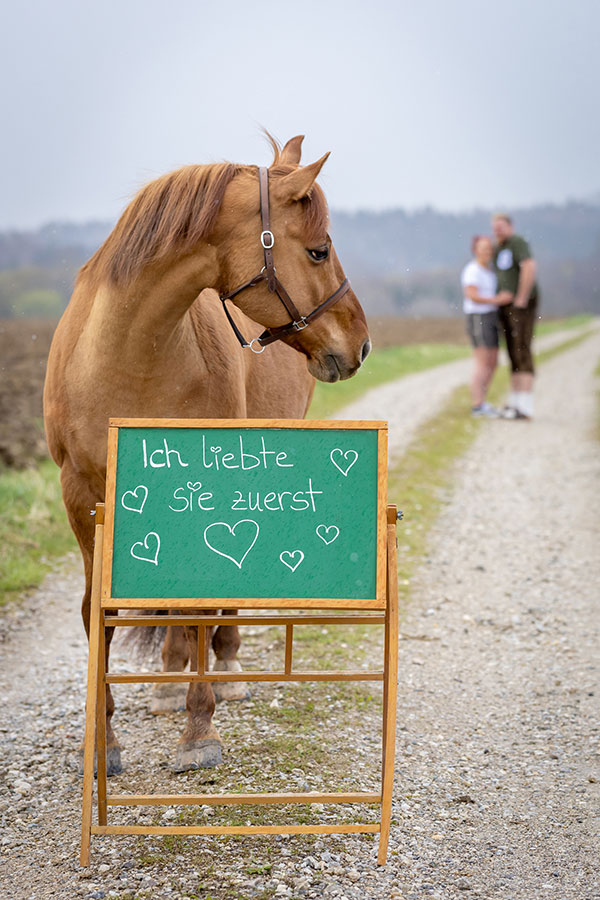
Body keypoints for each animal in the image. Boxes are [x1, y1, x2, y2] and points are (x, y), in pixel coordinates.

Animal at [43, 135, 370, 772]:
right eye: (318, 251)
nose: (361, 344)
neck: (126, 356)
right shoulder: (82, 498)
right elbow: (100, 614)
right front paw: (104, 743)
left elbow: (197, 602)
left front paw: (199, 733)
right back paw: (170, 682)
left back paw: (227, 667)